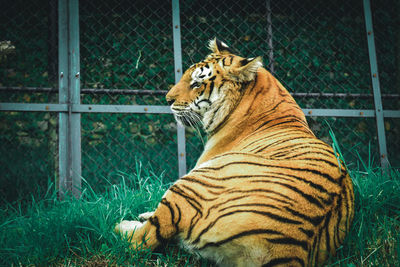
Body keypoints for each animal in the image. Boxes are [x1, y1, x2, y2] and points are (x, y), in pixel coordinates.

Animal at [115, 38, 354, 267]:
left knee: (143, 240)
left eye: (196, 83)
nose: (167, 99)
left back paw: (123, 226)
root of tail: (288, 251)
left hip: (191, 184)